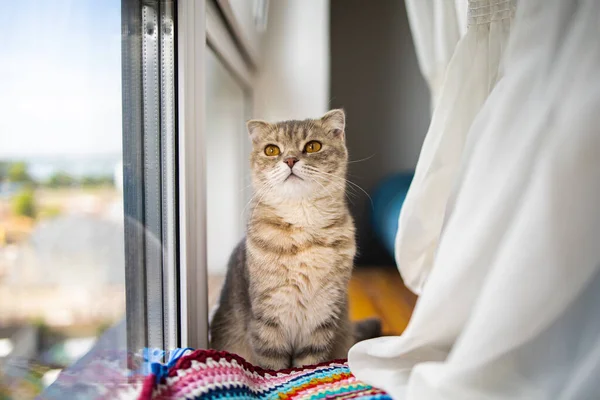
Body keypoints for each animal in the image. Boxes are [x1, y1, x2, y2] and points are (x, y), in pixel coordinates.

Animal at [210, 108, 380, 368]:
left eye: (313, 146)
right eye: (272, 150)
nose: (290, 160)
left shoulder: (323, 315)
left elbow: (308, 365)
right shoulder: (268, 318)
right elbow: (273, 366)